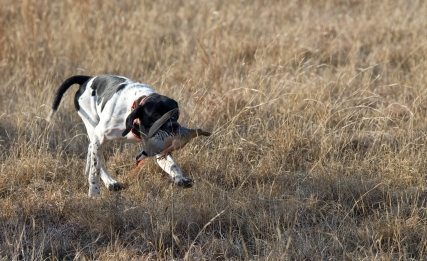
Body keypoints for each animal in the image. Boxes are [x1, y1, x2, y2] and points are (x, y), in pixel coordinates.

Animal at [47, 74, 193, 196]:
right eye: (156, 115)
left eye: (175, 114)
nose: (174, 126)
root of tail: (87, 79)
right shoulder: (99, 137)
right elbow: (95, 168)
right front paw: (94, 192)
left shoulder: (157, 144)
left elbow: (172, 164)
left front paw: (180, 178)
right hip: (92, 127)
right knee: (95, 157)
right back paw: (109, 182)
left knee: (90, 149)